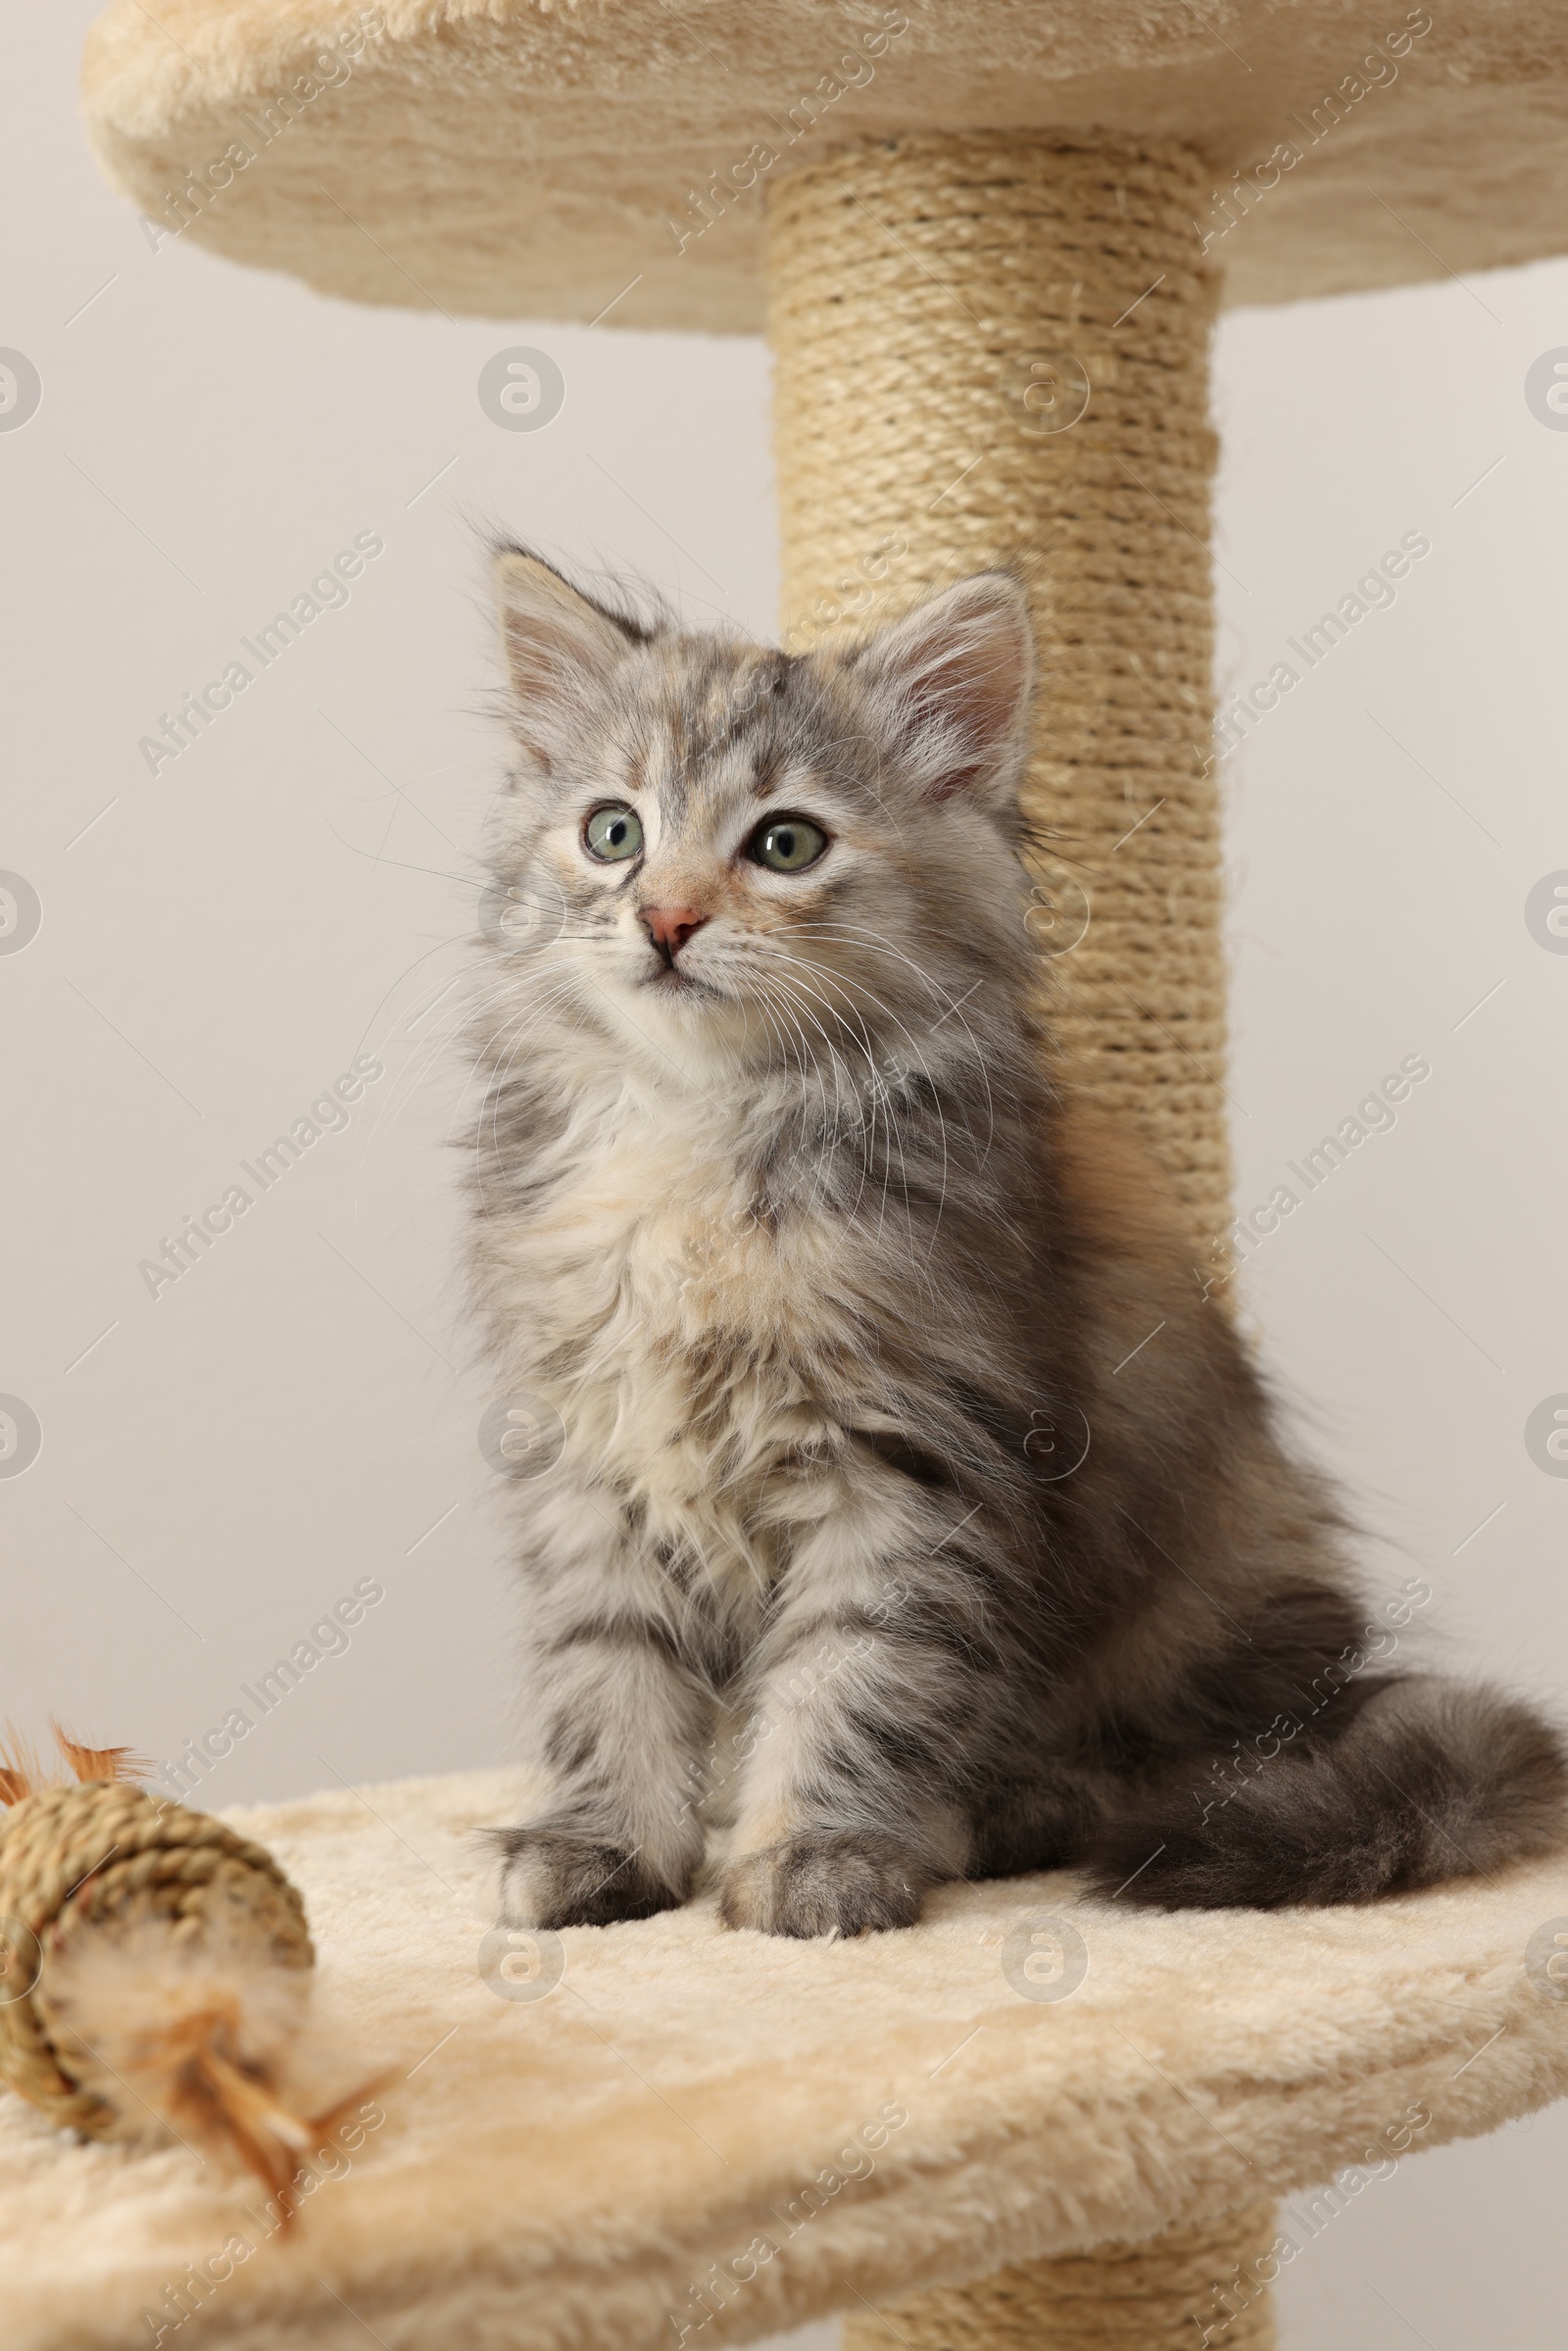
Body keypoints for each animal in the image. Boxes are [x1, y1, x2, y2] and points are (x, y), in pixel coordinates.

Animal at [469, 540, 1568, 1936]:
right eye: (613, 832)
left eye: (784, 843)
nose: (663, 919)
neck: (698, 1133)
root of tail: (1340, 1674)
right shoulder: (590, 1454)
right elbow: (610, 1671)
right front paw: (605, 1848)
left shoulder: (909, 1457)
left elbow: (849, 1677)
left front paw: (814, 1857)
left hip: (1201, 1609)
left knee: (1160, 1766)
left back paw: (985, 1811)